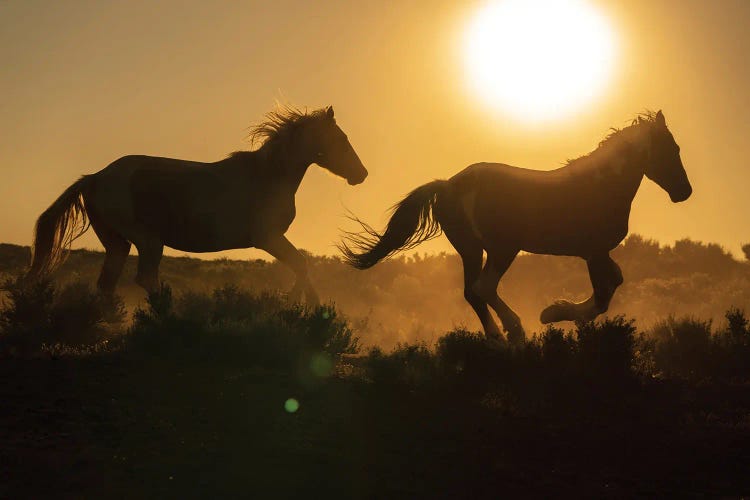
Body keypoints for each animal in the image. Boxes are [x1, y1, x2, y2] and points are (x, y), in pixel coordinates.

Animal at [27, 105, 368, 304]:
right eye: (341, 139)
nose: (361, 174)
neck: (268, 176)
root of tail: (96, 177)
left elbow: (303, 267)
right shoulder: (268, 238)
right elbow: (302, 265)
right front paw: (298, 305)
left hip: (117, 243)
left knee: (108, 283)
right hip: (148, 240)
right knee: (145, 279)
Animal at [340, 110, 692, 346]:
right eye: (672, 150)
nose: (684, 192)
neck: (600, 185)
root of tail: (449, 186)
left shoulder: (598, 251)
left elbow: (614, 282)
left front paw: (558, 310)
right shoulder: (592, 252)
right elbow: (603, 295)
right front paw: (553, 313)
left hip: (471, 249)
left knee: (472, 291)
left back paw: (496, 338)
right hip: (502, 248)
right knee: (484, 287)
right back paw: (516, 331)